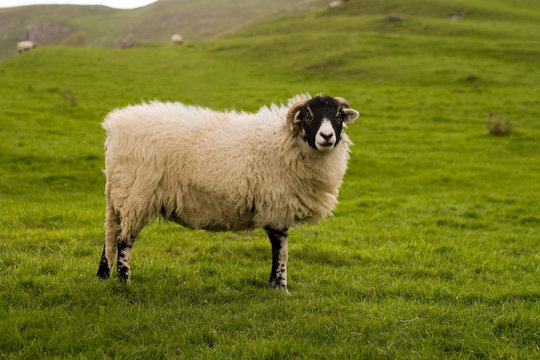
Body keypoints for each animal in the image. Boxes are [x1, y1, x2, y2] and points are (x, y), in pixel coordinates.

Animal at [96, 94, 358, 292]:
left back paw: (103, 275)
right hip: (136, 194)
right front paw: (281, 287)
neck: (286, 142)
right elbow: (281, 250)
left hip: (119, 194)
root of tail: (114, 128)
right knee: (124, 241)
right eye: (308, 115)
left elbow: (278, 249)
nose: (327, 136)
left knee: (110, 235)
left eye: (338, 115)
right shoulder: (277, 204)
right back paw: (124, 281)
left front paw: (273, 285)